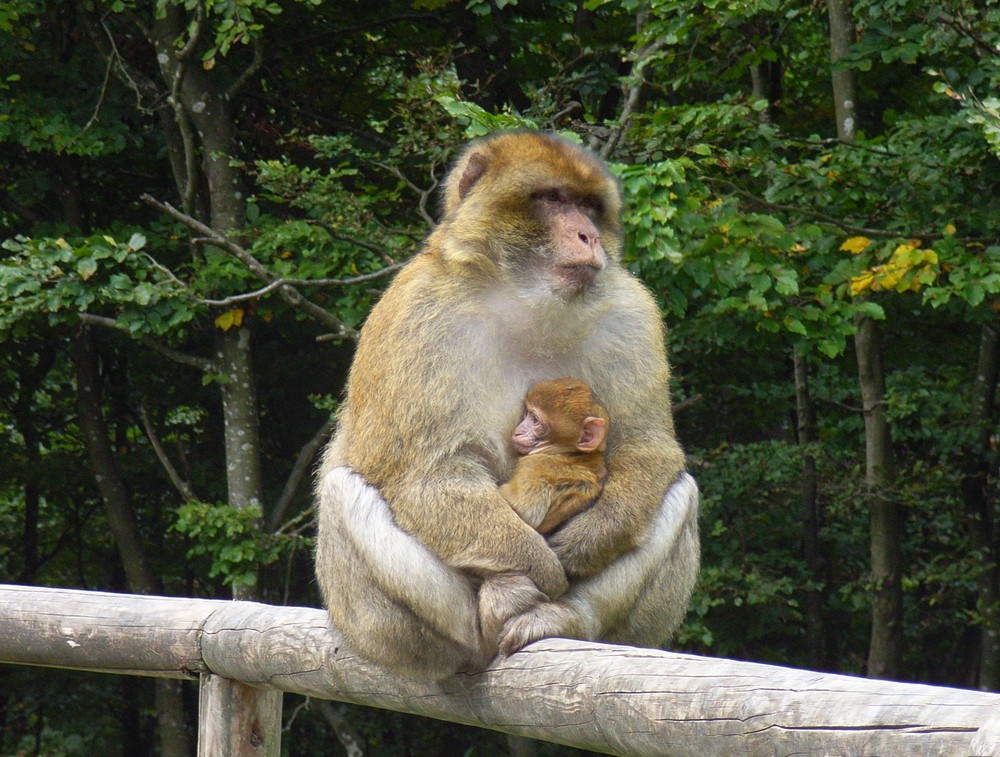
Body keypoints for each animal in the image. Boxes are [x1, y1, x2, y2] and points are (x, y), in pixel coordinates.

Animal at [500, 376, 608, 532]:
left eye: (535, 420)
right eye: (527, 414)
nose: (518, 432)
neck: (570, 453)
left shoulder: (534, 466)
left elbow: (524, 512)